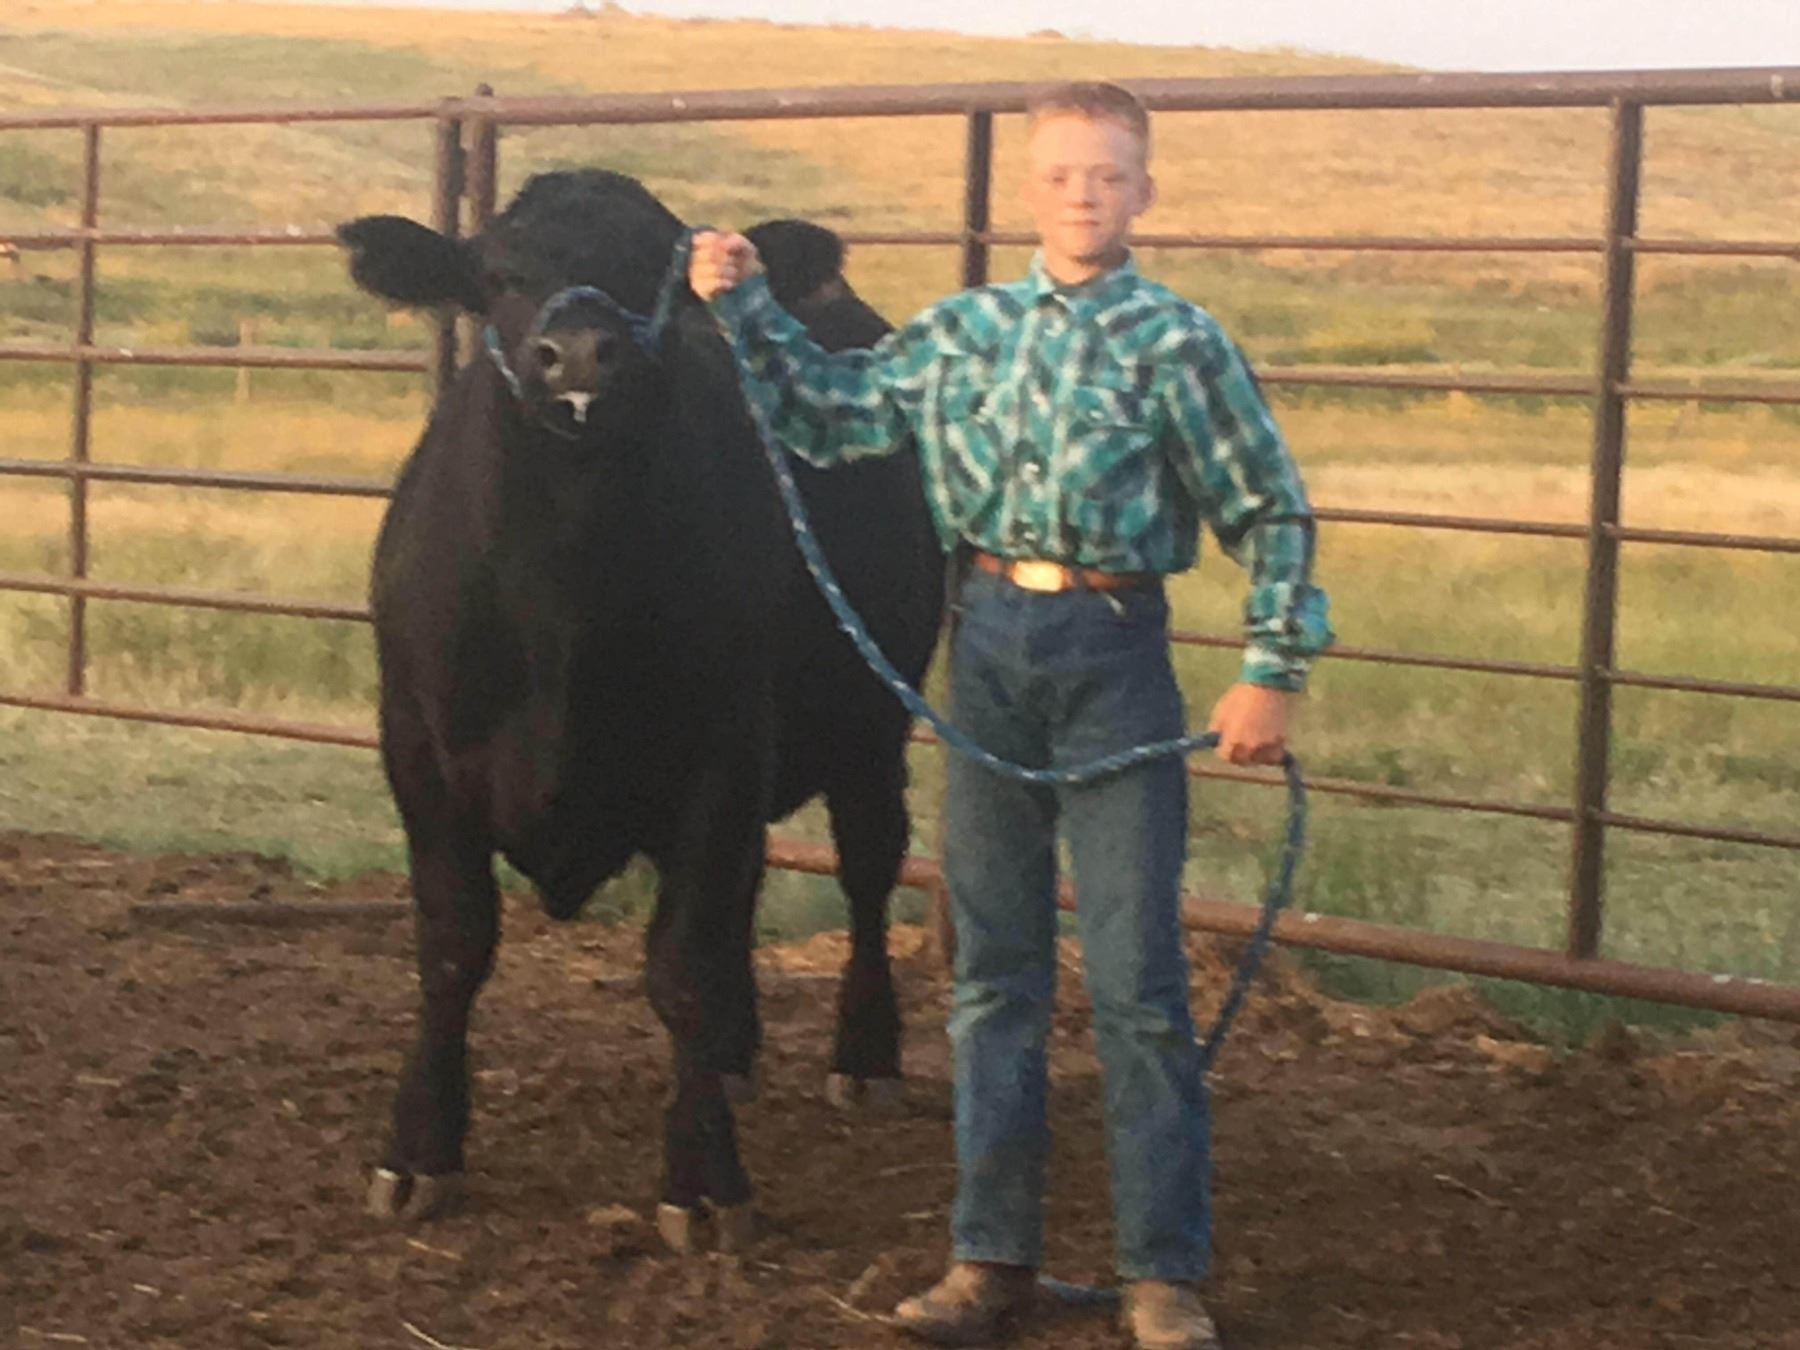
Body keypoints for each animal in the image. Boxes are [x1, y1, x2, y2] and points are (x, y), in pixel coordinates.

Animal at [335, 169, 943, 1246]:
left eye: (666, 270)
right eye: (499, 275)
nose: (581, 356)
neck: (560, 603)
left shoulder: (721, 756)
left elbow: (682, 963)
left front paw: (703, 1179)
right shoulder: (418, 752)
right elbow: (452, 948)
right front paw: (418, 1150)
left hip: (875, 714)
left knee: (868, 869)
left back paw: (864, 1056)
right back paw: (737, 1055)